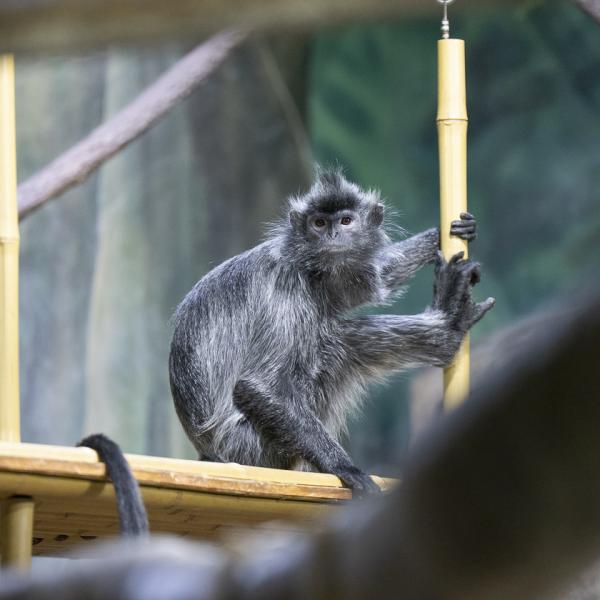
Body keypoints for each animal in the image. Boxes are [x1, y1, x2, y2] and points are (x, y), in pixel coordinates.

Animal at [168, 170, 492, 496]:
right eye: (319, 223)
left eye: (346, 221)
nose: (333, 235)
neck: (306, 266)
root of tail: (210, 454)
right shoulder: (285, 285)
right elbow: (259, 384)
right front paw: (345, 467)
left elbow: (378, 279)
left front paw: (438, 234)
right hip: (250, 446)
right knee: (330, 344)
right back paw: (448, 331)